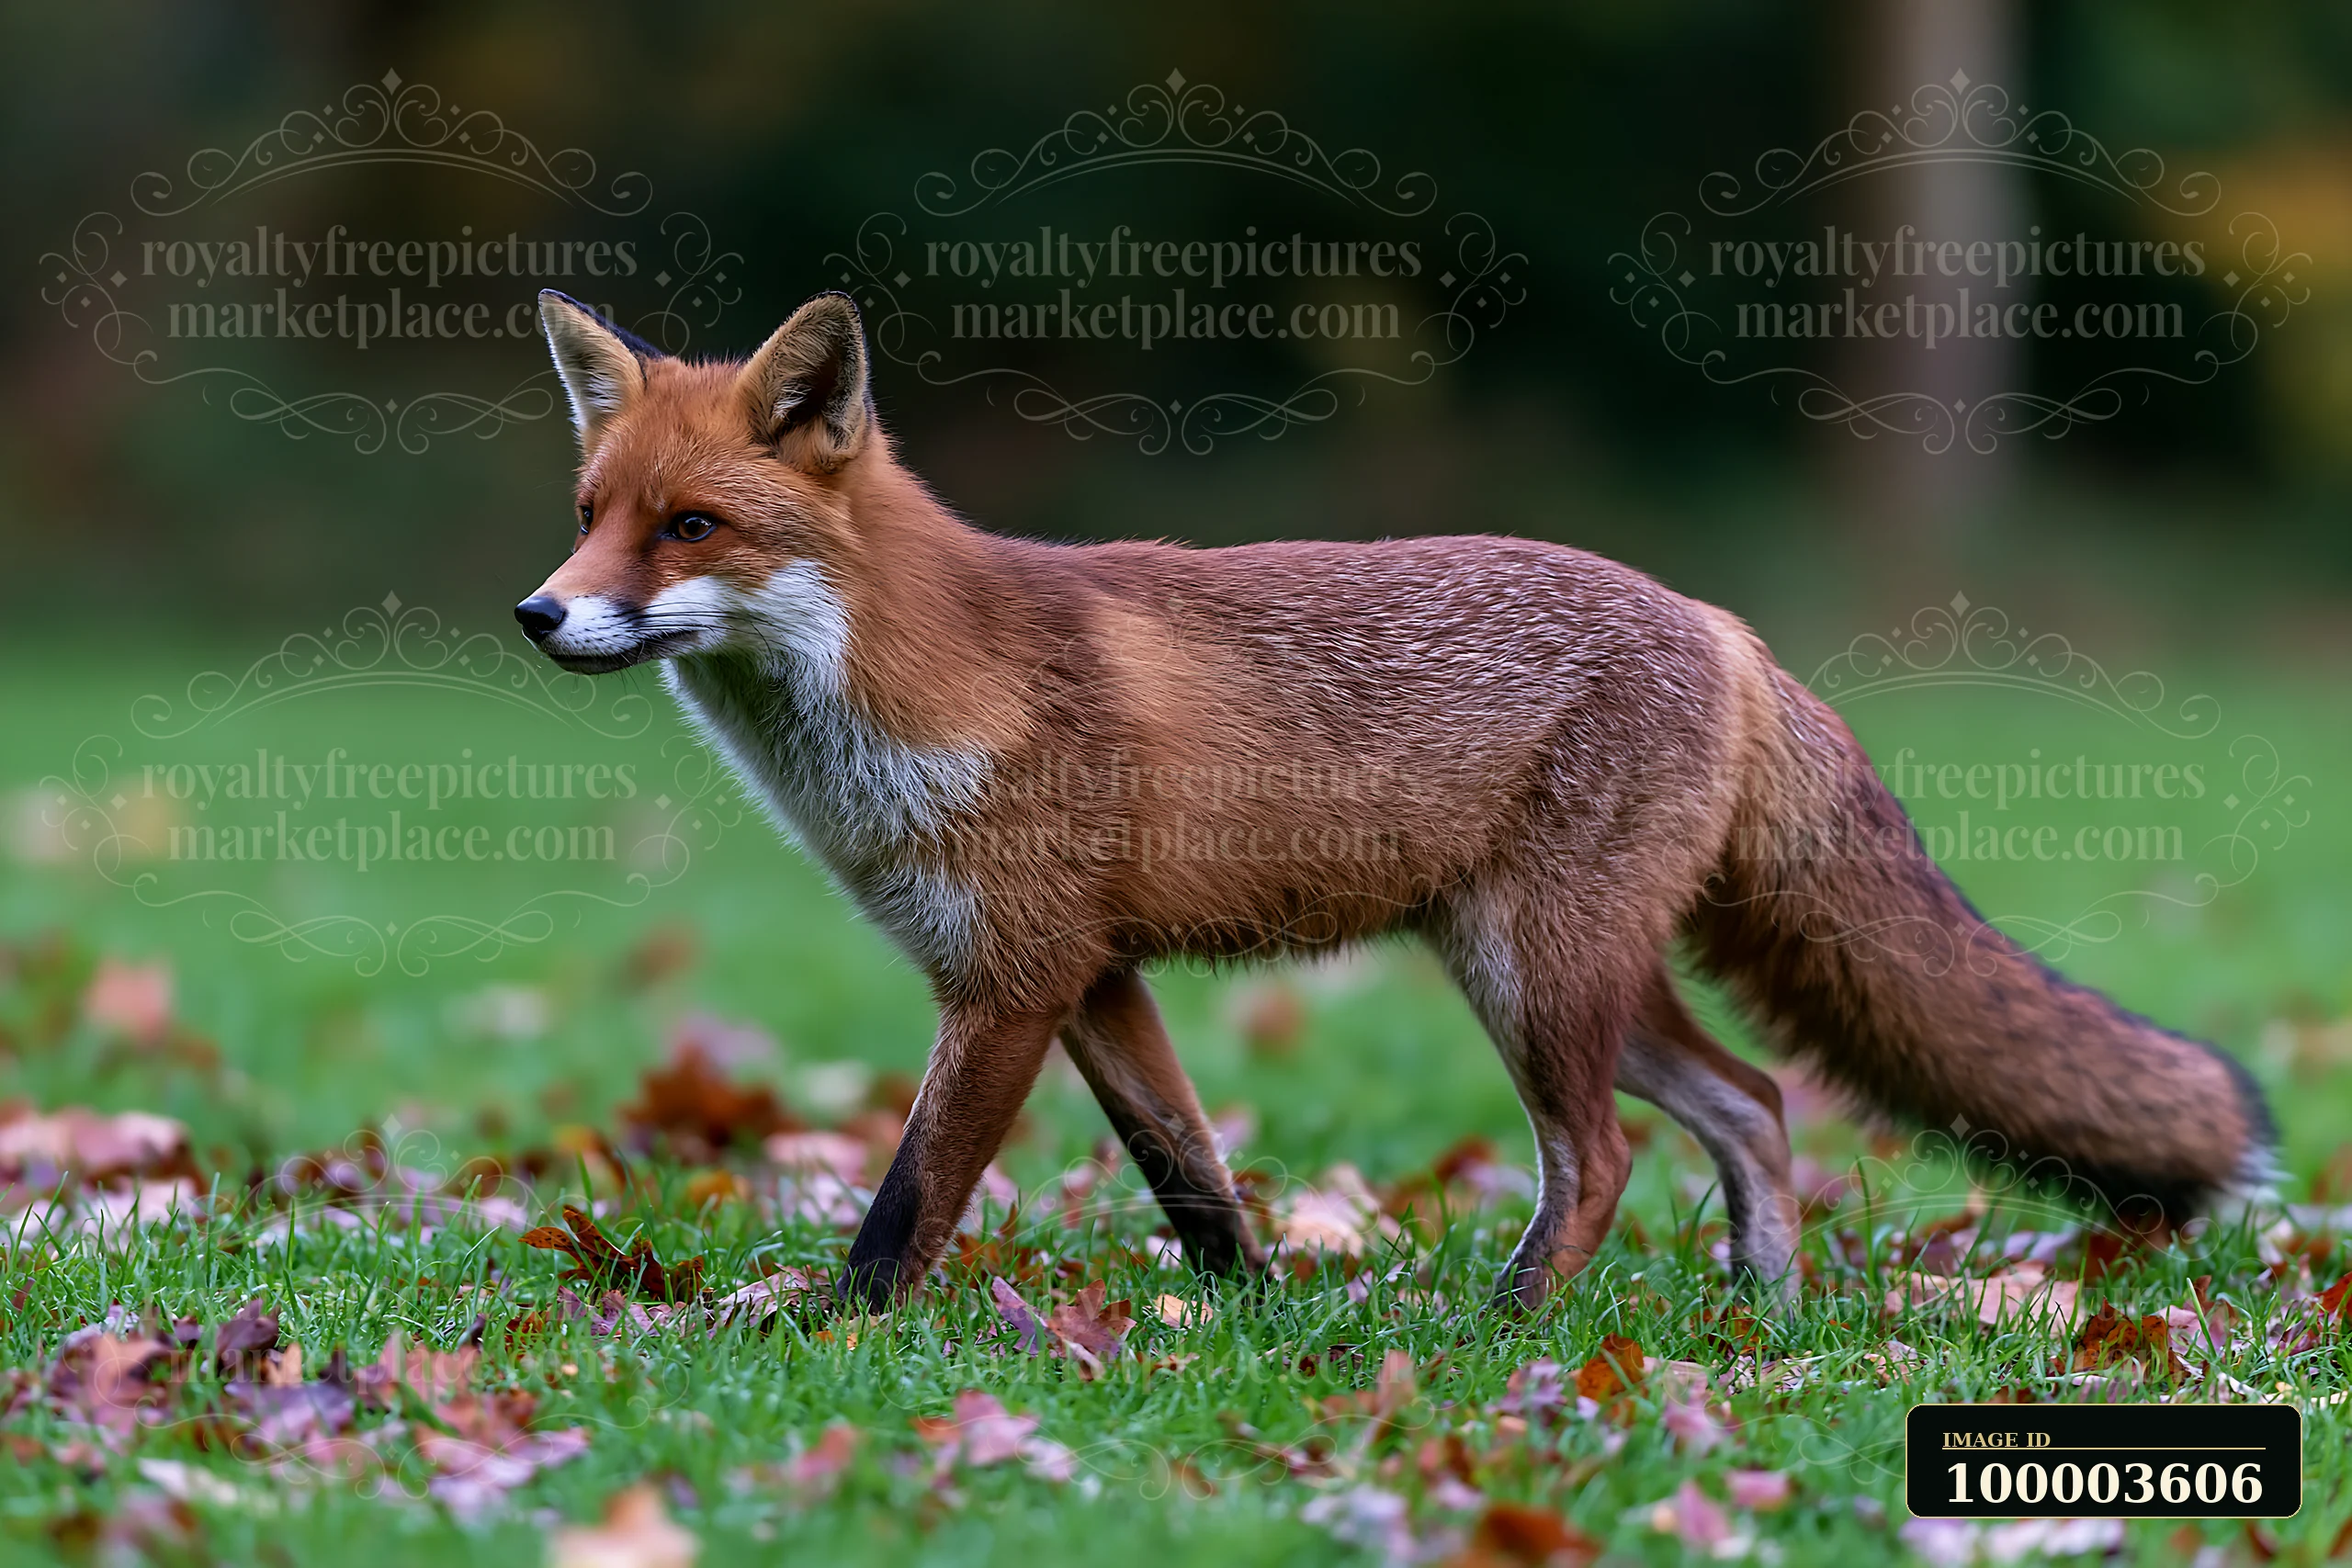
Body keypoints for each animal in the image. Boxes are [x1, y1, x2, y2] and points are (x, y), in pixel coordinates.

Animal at [515, 287, 2275, 1312]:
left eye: (689, 526)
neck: (915, 691)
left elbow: (910, 1198)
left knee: (1604, 1159)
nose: (540, 613)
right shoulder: (1095, 976)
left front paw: (835, 1326)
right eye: (590, 513)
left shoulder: (1011, 981)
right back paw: (1760, 1317)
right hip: (1564, 973)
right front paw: (1247, 1317)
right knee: (1756, 1104)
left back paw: (1507, 1333)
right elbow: (1191, 1172)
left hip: (1533, 977)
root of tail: (1722, 623)